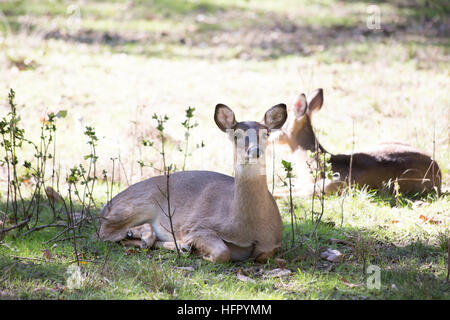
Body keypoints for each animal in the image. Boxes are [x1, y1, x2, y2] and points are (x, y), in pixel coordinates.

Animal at [99, 103, 288, 262]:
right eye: (236, 135)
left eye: (266, 134)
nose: (255, 151)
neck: (246, 227)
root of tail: (106, 205)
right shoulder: (197, 226)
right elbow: (222, 252)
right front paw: (202, 253)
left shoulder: (273, 241)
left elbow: (262, 255)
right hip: (138, 204)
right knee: (104, 233)